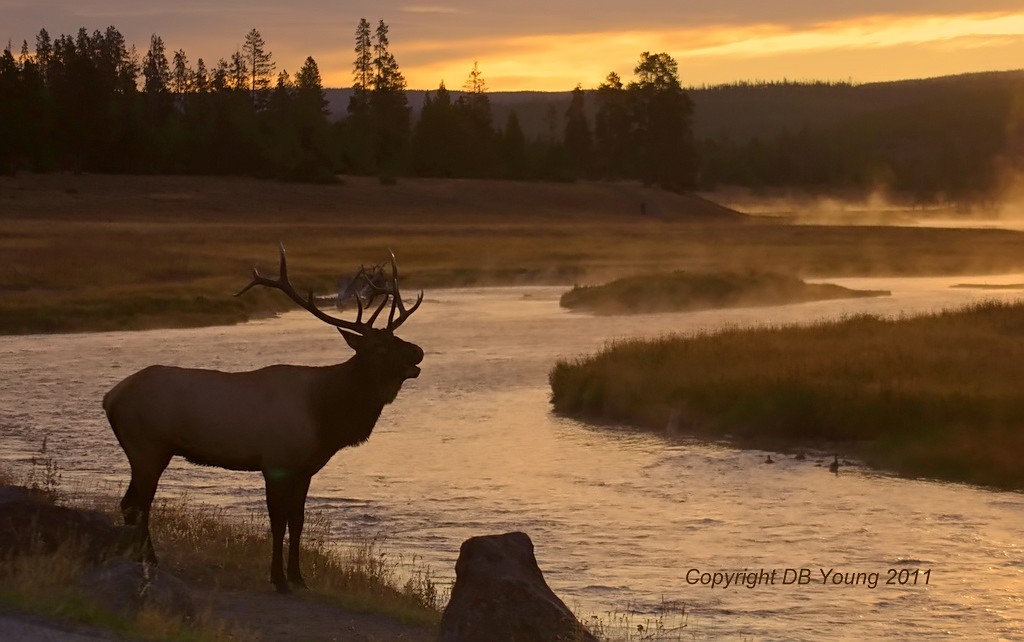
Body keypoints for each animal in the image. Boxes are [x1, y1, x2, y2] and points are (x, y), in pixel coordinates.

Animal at [103, 244, 423, 593]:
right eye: (379, 347)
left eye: (397, 338)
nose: (418, 352)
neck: (325, 416)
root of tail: (110, 398)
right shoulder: (276, 463)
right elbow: (278, 523)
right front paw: (279, 580)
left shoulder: (305, 469)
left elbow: (297, 522)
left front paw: (299, 578)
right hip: (147, 446)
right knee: (136, 504)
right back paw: (149, 559)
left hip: (147, 450)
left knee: (134, 503)